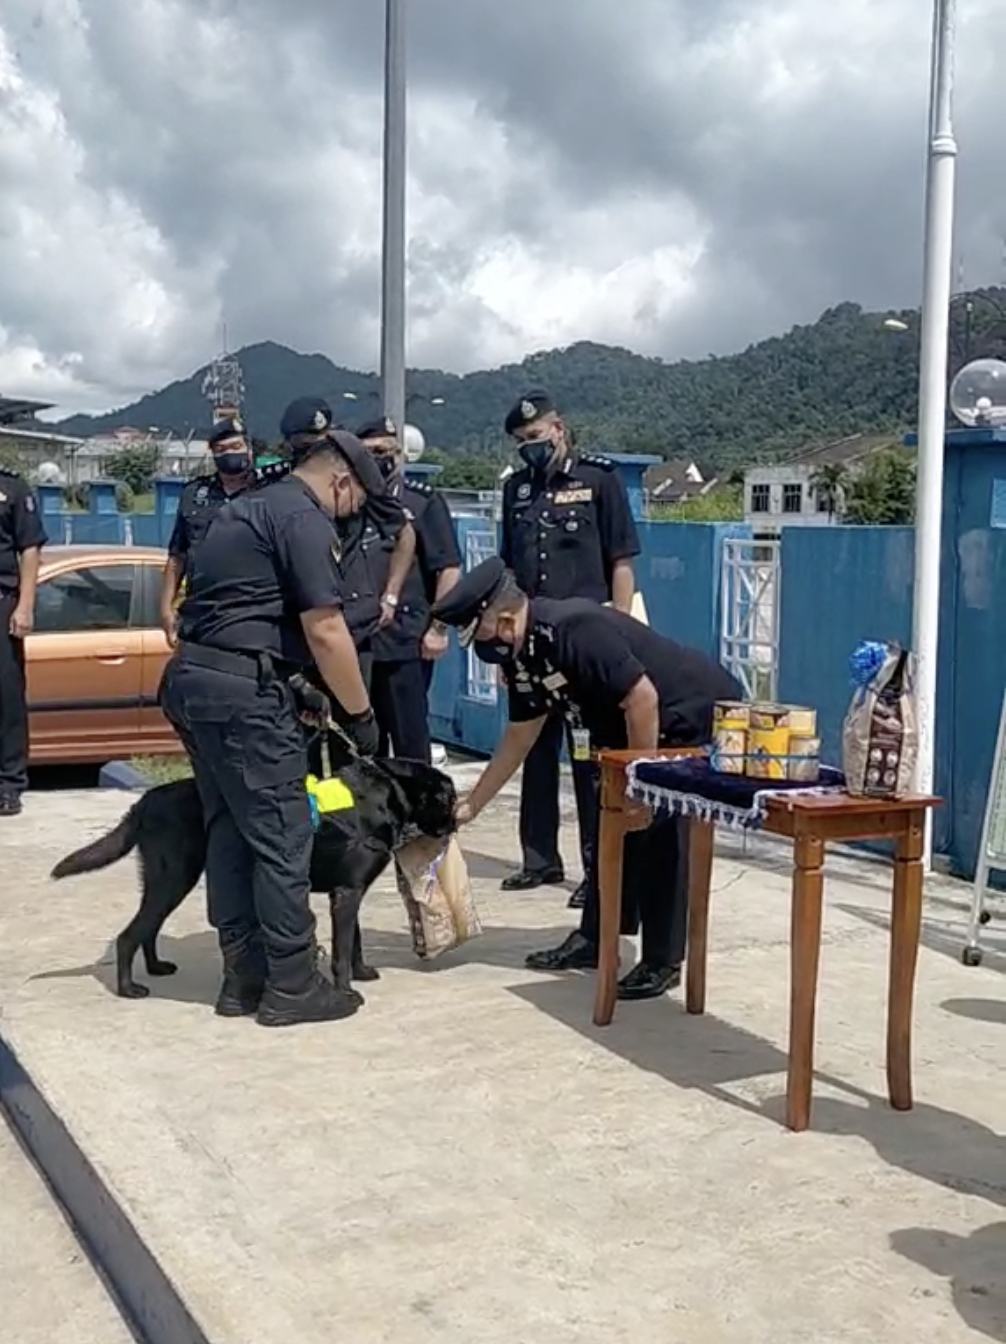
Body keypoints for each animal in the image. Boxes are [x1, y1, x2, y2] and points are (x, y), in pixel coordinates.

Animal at [48, 758, 453, 999]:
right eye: (447, 800)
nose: (454, 823)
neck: (388, 795)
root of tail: (144, 801)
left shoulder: (346, 894)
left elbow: (354, 942)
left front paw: (363, 972)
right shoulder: (347, 892)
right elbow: (341, 949)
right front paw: (346, 991)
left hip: (170, 879)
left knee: (148, 927)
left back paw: (156, 968)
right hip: (173, 877)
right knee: (129, 934)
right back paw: (128, 988)